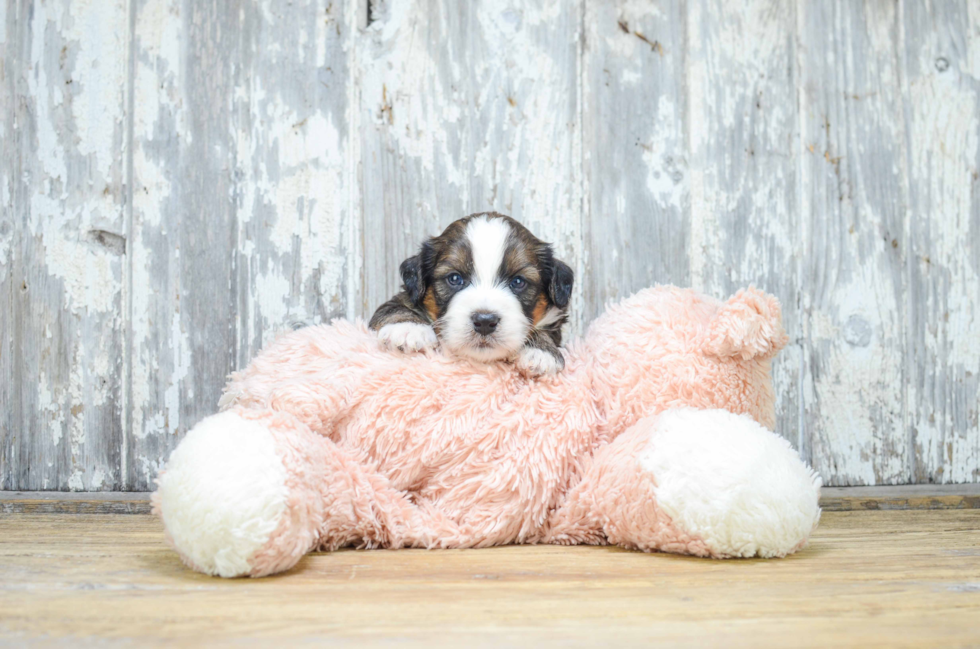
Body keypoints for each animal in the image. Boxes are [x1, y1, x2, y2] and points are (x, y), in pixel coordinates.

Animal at [370, 213, 576, 374]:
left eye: (518, 282)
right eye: (455, 278)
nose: (485, 321)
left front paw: (541, 351)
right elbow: (394, 307)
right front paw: (407, 328)